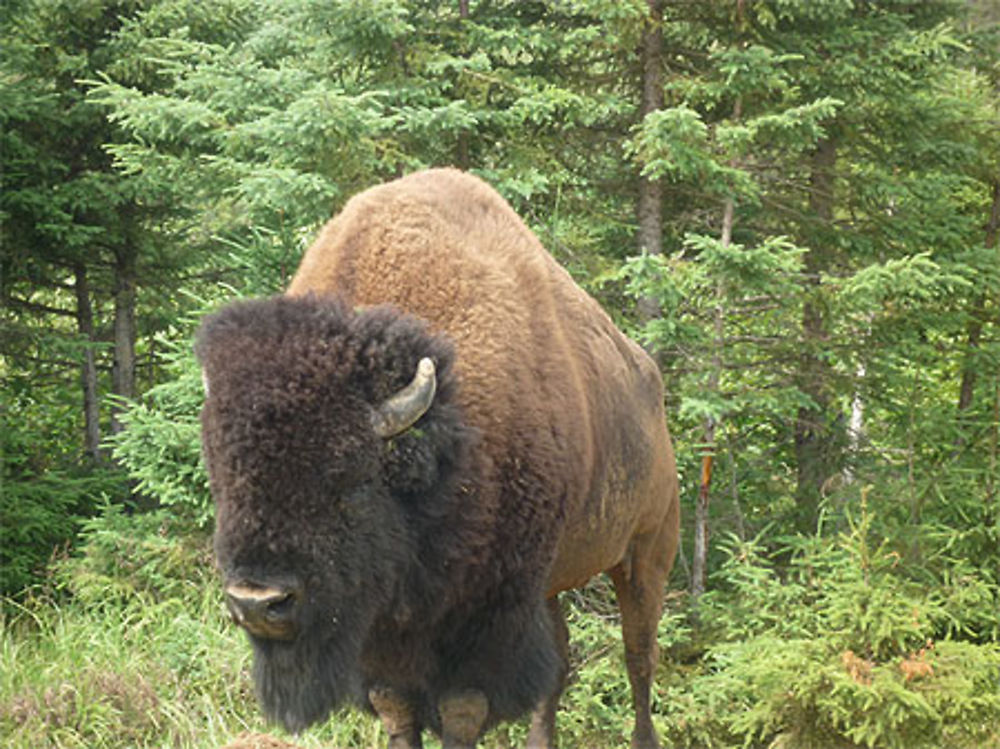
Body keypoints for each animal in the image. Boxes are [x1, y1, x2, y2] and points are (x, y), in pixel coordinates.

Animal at [195, 169, 680, 748]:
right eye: (223, 480)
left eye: (348, 481)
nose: (257, 602)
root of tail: (649, 380)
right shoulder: (385, 627)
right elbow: (396, 704)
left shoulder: (485, 611)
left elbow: (461, 706)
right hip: (553, 581)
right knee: (560, 665)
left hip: (646, 552)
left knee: (639, 657)